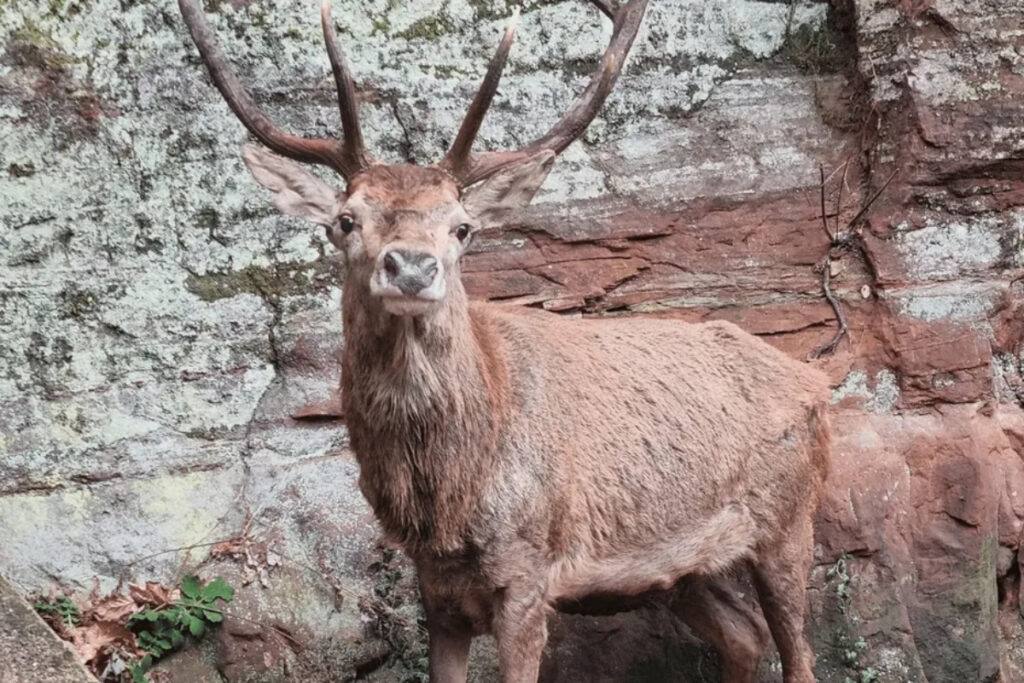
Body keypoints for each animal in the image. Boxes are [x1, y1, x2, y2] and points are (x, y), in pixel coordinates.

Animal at [177, 1, 832, 681]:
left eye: (462, 227)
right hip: (677, 568)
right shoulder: (435, 584)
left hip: (790, 516)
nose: (411, 266)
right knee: (743, 635)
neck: (450, 493)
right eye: (345, 220)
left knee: (796, 650)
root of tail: (815, 379)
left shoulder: (527, 569)